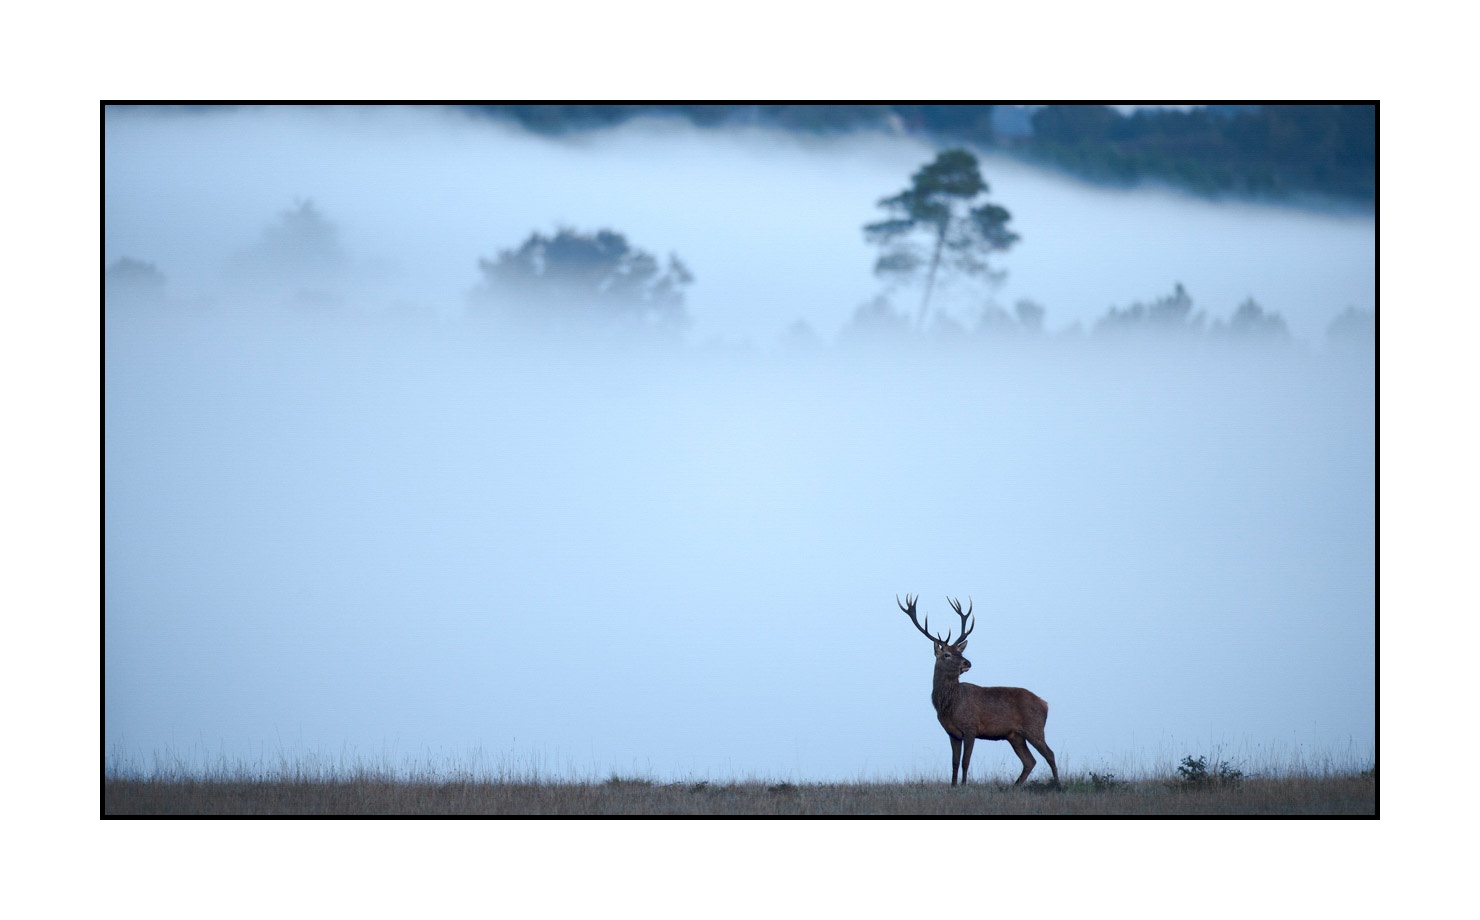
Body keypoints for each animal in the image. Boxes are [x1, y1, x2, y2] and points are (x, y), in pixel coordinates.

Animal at [896, 593, 1059, 787]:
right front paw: (953, 786)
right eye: (947, 654)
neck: (949, 705)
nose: (967, 663)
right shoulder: (952, 733)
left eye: (959, 652)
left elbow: (965, 761)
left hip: (1034, 727)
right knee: (1030, 761)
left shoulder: (970, 728)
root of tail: (1045, 703)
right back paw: (1014, 786)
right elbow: (954, 762)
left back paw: (1058, 785)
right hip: (1015, 736)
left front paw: (964, 785)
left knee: (1050, 754)